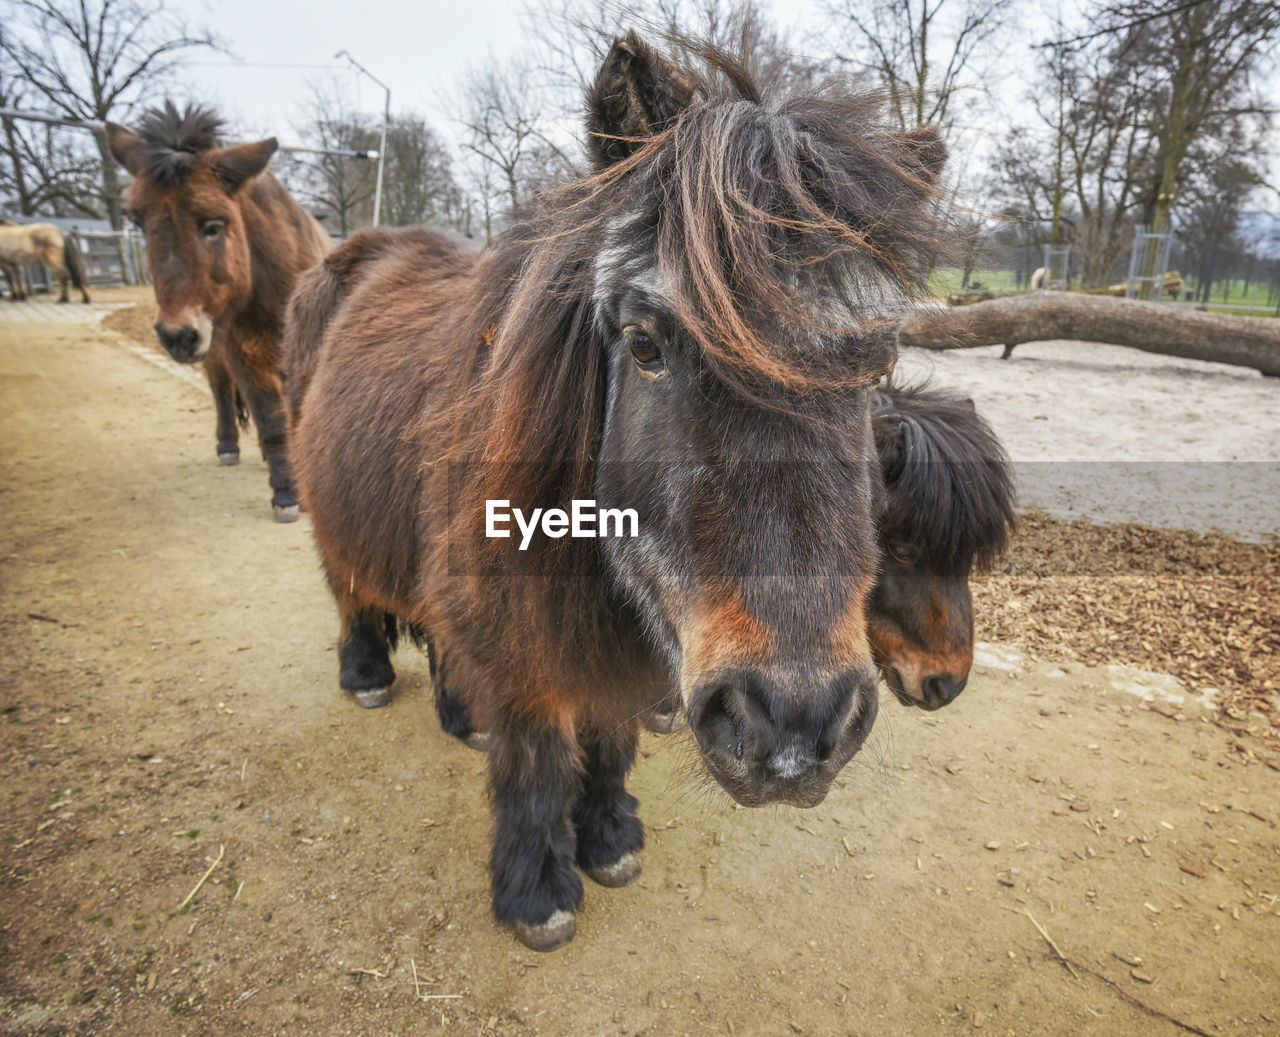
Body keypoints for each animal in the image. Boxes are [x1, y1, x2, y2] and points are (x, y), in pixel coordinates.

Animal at [105, 103, 332, 517]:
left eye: (213, 225)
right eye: (140, 224)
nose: (177, 336)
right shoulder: (241, 354)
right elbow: (271, 422)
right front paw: (286, 494)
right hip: (216, 353)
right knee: (222, 393)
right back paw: (229, 446)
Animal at [288, 32, 952, 947]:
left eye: (877, 363)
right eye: (645, 344)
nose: (794, 722)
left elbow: (607, 738)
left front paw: (607, 838)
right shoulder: (525, 637)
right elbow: (536, 757)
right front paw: (537, 888)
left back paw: (460, 713)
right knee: (348, 586)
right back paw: (366, 674)